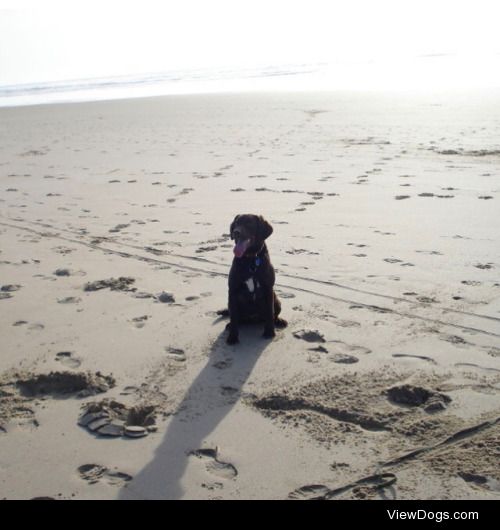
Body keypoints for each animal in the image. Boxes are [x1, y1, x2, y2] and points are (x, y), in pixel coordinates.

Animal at [225, 212, 288, 344]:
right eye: (236, 223)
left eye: (249, 223)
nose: (236, 232)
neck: (251, 259)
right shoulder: (232, 291)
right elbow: (233, 317)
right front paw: (232, 337)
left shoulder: (268, 289)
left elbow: (270, 313)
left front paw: (269, 332)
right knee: (236, 318)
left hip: (277, 299)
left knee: (274, 315)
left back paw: (279, 321)